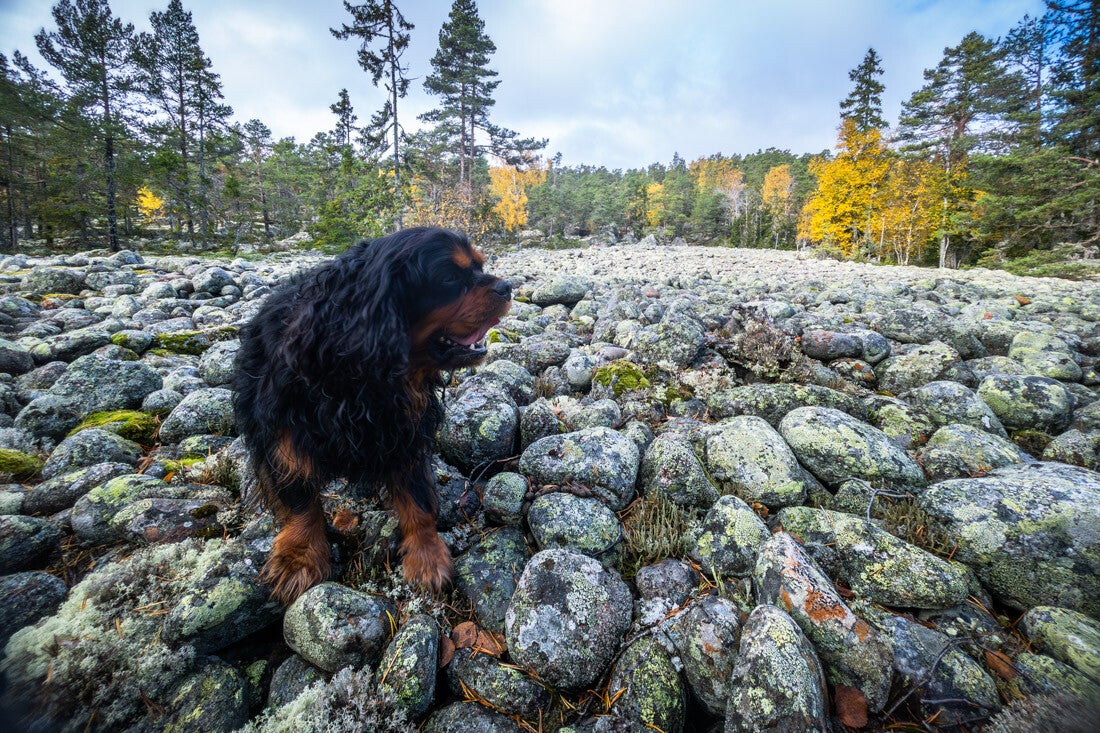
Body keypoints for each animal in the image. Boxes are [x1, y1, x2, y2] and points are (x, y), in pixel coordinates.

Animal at [233, 227, 512, 604]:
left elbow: (416, 497)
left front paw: (427, 554)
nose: (507, 286)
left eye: (480, 267)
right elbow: (299, 496)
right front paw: (300, 555)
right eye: (450, 278)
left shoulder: (404, 430)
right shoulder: (285, 431)